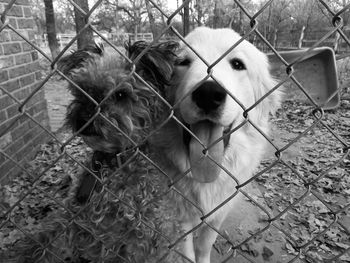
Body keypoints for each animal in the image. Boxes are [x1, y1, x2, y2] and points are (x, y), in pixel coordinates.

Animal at [152, 27, 280, 263]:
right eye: (182, 62)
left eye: (237, 64)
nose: (208, 94)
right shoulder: (180, 213)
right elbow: (186, 250)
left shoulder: (218, 211)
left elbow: (204, 244)